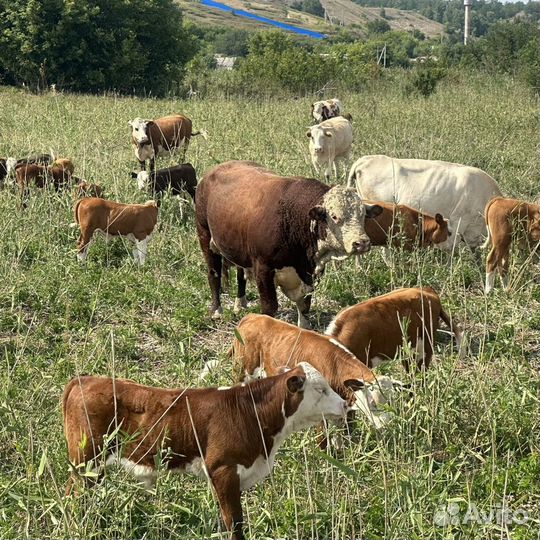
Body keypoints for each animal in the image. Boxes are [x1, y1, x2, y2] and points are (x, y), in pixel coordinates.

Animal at [62, 364, 346, 536]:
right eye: (320, 389)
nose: (345, 404)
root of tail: (85, 379)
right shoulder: (222, 469)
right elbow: (234, 522)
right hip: (86, 459)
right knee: (72, 495)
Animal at [196, 160, 382, 330]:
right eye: (335, 216)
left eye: (363, 215)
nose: (361, 243)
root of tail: (214, 170)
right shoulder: (263, 268)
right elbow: (270, 307)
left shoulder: (311, 273)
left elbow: (305, 304)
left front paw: (304, 328)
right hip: (204, 235)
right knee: (213, 273)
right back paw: (216, 310)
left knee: (240, 274)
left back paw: (240, 302)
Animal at [229, 312, 404, 430]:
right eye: (373, 403)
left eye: (393, 402)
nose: (386, 424)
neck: (334, 364)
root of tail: (251, 316)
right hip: (242, 372)